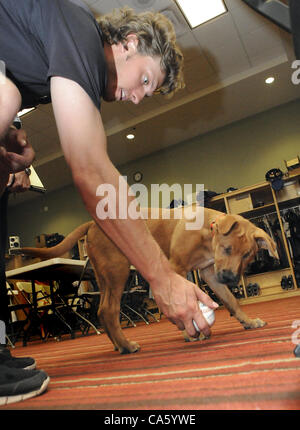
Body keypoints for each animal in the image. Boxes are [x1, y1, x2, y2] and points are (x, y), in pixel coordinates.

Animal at [21, 207, 278, 352]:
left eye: (247, 256)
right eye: (227, 249)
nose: (231, 278)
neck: (207, 230)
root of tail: (93, 224)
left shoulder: (210, 273)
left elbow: (231, 301)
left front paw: (248, 321)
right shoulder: (177, 268)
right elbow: (182, 304)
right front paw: (188, 333)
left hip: (104, 276)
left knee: (102, 311)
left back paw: (118, 345)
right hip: (117, 271)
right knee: (108, 311)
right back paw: (126, 346)